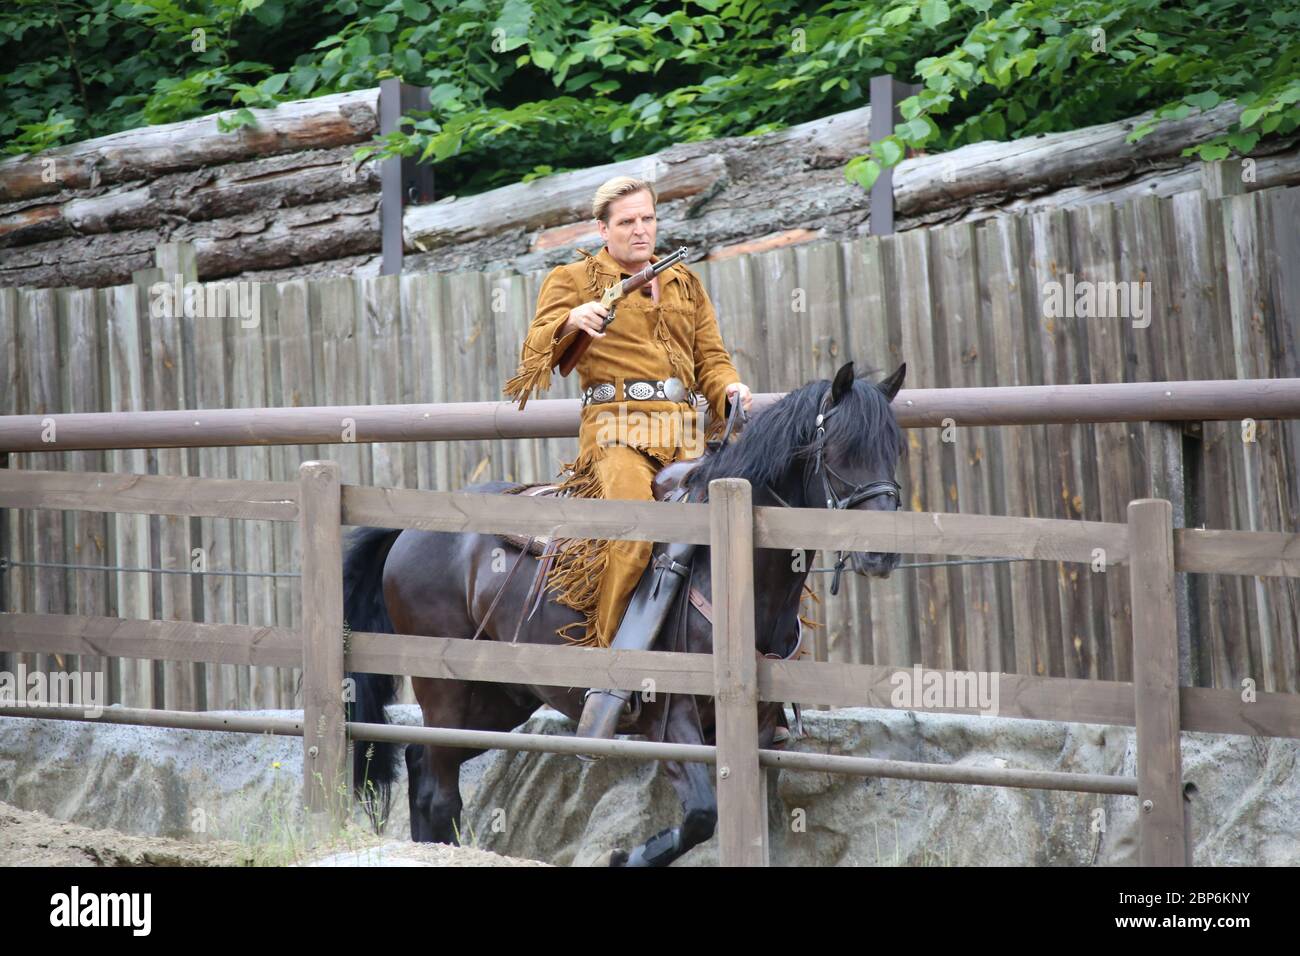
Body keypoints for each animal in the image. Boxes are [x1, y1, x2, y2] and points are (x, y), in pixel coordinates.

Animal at [351, 361, 909, 868]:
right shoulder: (670, 720)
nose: (883, 553)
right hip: (445, 688)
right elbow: (702, 814)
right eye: (839, 450)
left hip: (499, 701)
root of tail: (409, 530)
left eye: (894, 451)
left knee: (420, 760)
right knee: (439, 788)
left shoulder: (755, 725)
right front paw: (626, 856)